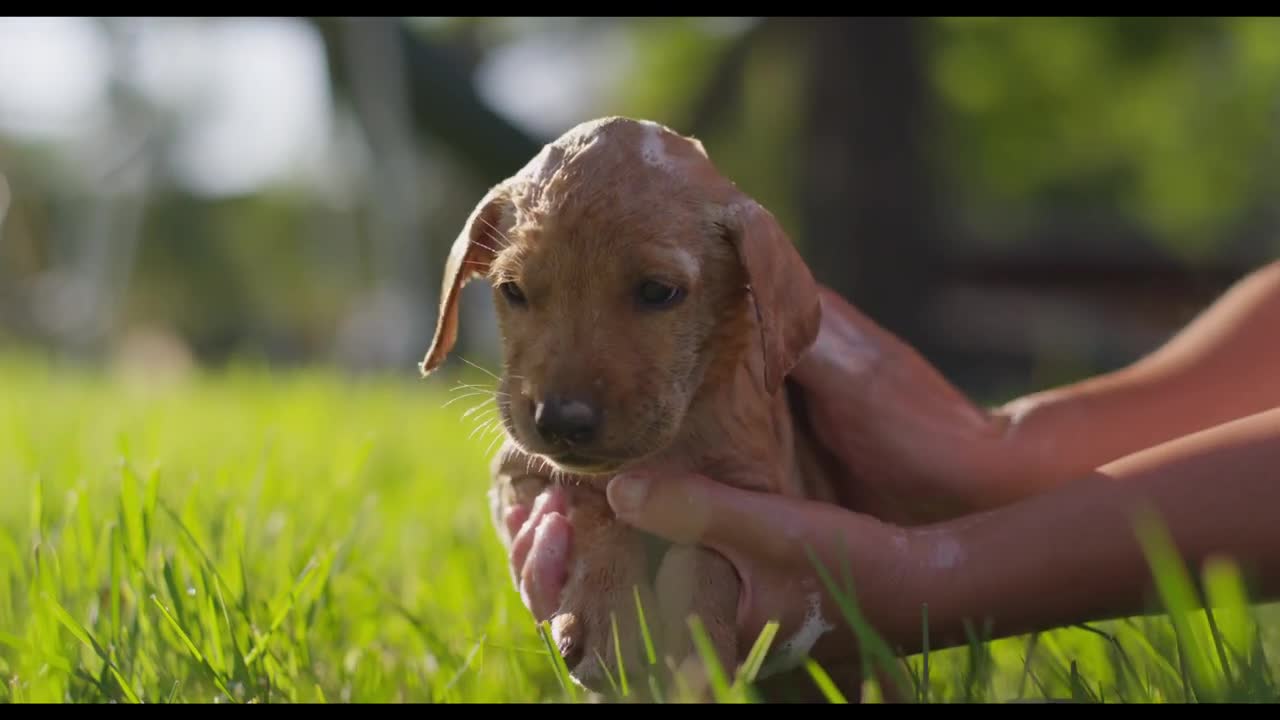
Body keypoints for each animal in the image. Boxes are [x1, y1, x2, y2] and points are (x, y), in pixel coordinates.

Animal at [422, 117, 860, 702]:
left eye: (658, 291)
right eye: (511, 290)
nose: (560, 422)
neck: (673, 442)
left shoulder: (756, 503)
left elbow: (704, 552)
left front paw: (695, 655)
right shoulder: (519, 470)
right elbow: (594, 505)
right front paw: (606, 617)